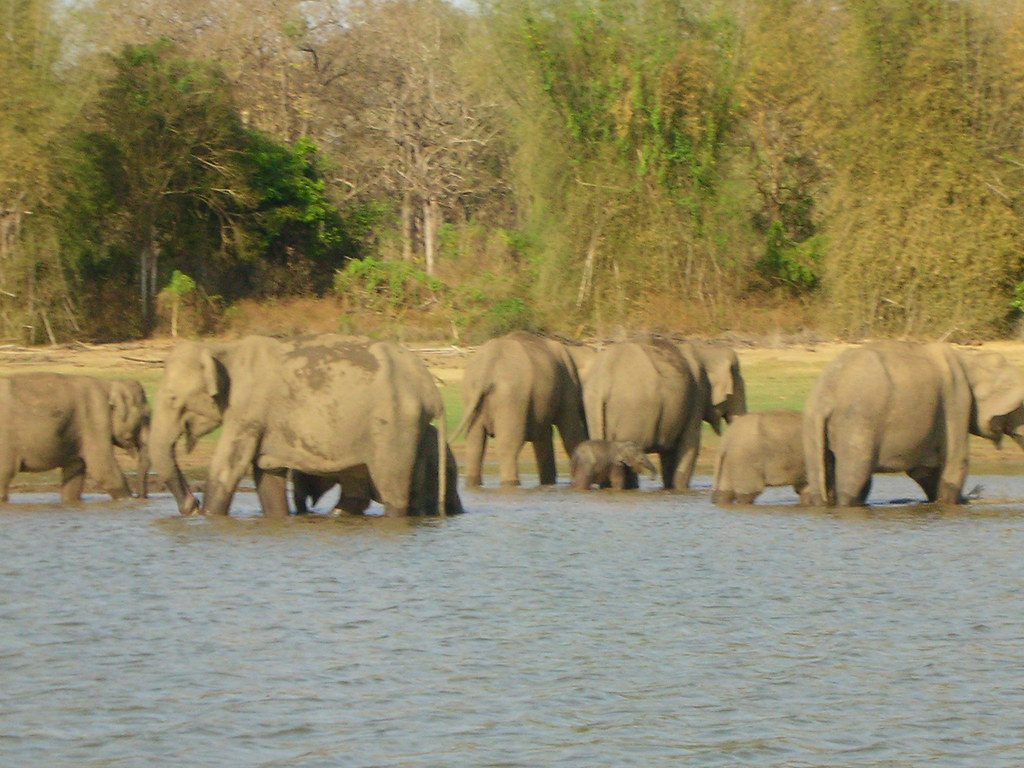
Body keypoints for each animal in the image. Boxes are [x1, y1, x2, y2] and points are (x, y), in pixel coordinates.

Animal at [0, 373, 148, 502]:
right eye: (146, 417)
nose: (141, 497)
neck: (109, 384)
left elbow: (74, 474)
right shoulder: (96, 416)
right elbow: (103, 468)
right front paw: (128, 500)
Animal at [457, 331, 588, 487]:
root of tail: (487, 367)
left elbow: (544, 437)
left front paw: (547, 484)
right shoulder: (567, 386)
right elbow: (570, 433)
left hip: (472, 394)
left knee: (474, 445)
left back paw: (474, 484)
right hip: (511, 398)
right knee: (509, 447)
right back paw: (511, 483)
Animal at [583, 337, 747, 490]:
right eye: (738, 388)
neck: (707, 350)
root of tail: (602, 382)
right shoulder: (696, 397)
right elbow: (690, 447)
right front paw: (680, 489)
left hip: (592, 408)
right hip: (632, 413)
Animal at [803, 342, 1024, 507]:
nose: (974, 496)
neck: (971, 359)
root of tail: (826, 396)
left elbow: (925, 472)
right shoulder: (956, 400)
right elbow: (955, 465)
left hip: (814, 426)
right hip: (857, 423)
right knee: (855, 480)